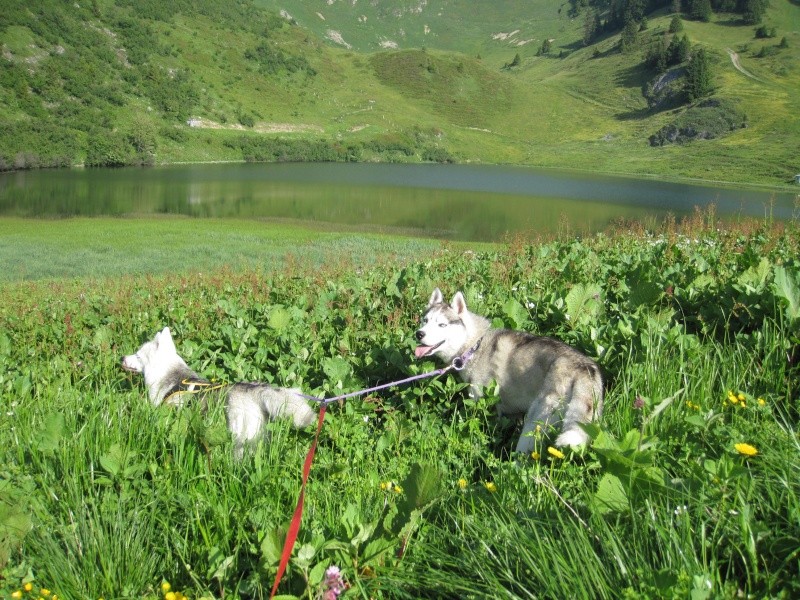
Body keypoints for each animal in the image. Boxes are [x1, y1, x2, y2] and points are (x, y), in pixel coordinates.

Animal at [416, 288, 604, 452]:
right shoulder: (511, 413)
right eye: (425, 321)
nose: (419, 334)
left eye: (442, 324)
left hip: (534, 422)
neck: (475, 345)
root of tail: (584, 367)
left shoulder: (483, 403)